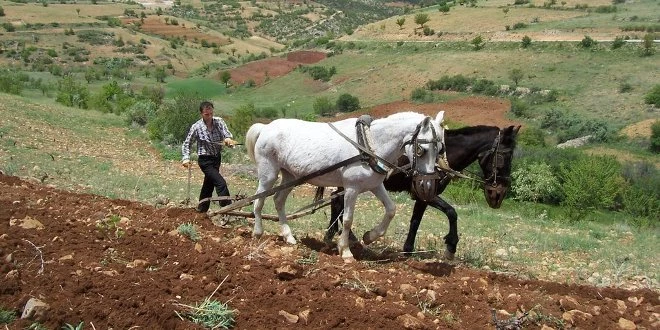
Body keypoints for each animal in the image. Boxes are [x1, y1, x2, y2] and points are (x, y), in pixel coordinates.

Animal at [245, 112, 446, 262]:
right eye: (421, 150)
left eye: (441, 149)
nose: (427, 185)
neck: (369, 144)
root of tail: (265, 127)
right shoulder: (351, 188)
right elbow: (348, 219)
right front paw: (346, 251)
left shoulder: (375, 185)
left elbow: (391, 209)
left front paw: (370, 236)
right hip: (268, 174)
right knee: (258, 201)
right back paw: (258, 232)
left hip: (291, 176)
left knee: (278, 200)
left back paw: (288, 236)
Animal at [324, 125, 520, 260]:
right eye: (504, 156)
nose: (498, 196)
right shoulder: (425, 194)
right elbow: (450, 212)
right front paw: (450, 247)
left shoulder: (423, 196)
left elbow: (417, 220)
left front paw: (408, 249)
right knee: (337, 203)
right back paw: (340, 237)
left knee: (336, 202)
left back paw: (338, 236)